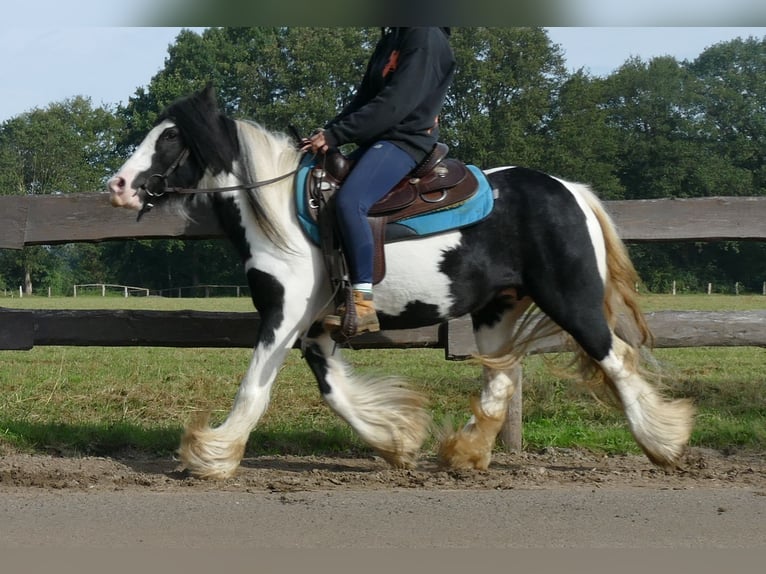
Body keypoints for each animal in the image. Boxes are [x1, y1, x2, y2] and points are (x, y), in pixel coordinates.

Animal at [108, 85, 696, 482]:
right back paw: (465, 455)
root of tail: (569, 190)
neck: (282, 215)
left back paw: (664, 444)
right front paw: (397, 440)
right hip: (496, 310)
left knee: (616, 358)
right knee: (501, 379)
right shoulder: (314, 327)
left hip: (571, 300)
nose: (118, 185)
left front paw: (211, 455)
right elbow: (335, 393)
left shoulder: (283, 316)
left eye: (170, 139)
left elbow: (255, 385)